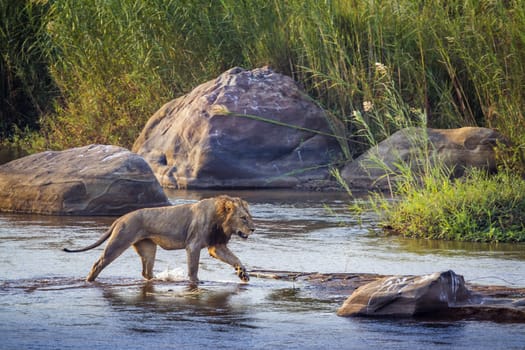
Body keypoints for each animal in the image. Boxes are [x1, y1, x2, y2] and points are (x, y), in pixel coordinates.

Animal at [63, 196, 254, 284]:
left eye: (249, 217)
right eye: (243, 218)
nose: (253, 229)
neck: (221, 222)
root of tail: (121, 218)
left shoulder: (216, 246)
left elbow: (235, 258)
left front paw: (243, 273)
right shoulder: (193, 245)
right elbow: (193, 268)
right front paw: (195, 282)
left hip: (148, 249)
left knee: (145, 272)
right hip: (118, 243)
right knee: (98, 264)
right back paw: (88, 281)